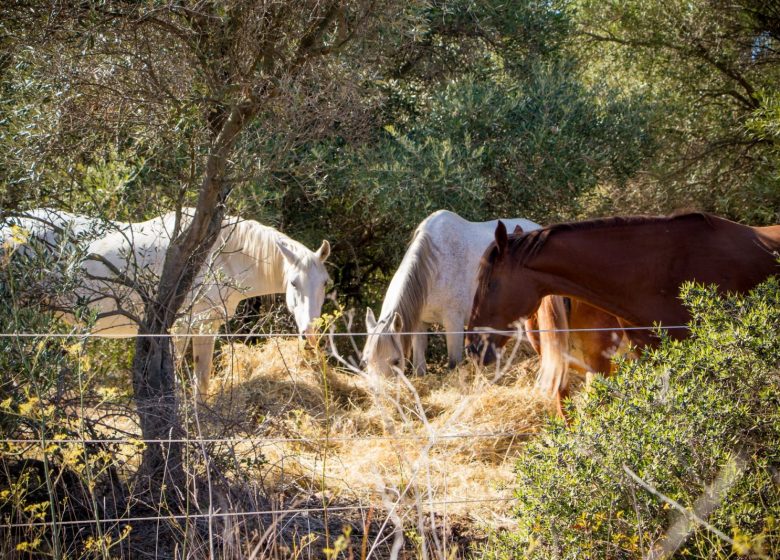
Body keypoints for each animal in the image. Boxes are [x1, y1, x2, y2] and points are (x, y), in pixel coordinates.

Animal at [0, 209, 330, 398]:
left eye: (325, 283)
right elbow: (188, 376)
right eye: (294, 283)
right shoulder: (188, 325)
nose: (311, 334)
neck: (221, 254)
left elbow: (201, 379)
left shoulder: (204, 326)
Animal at [362, 210, 540, 376]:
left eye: (396, 361)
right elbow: (419, 367)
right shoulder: (419, 324)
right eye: (366, 361)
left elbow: (454, 364)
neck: (433, 266)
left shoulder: (454, 323)